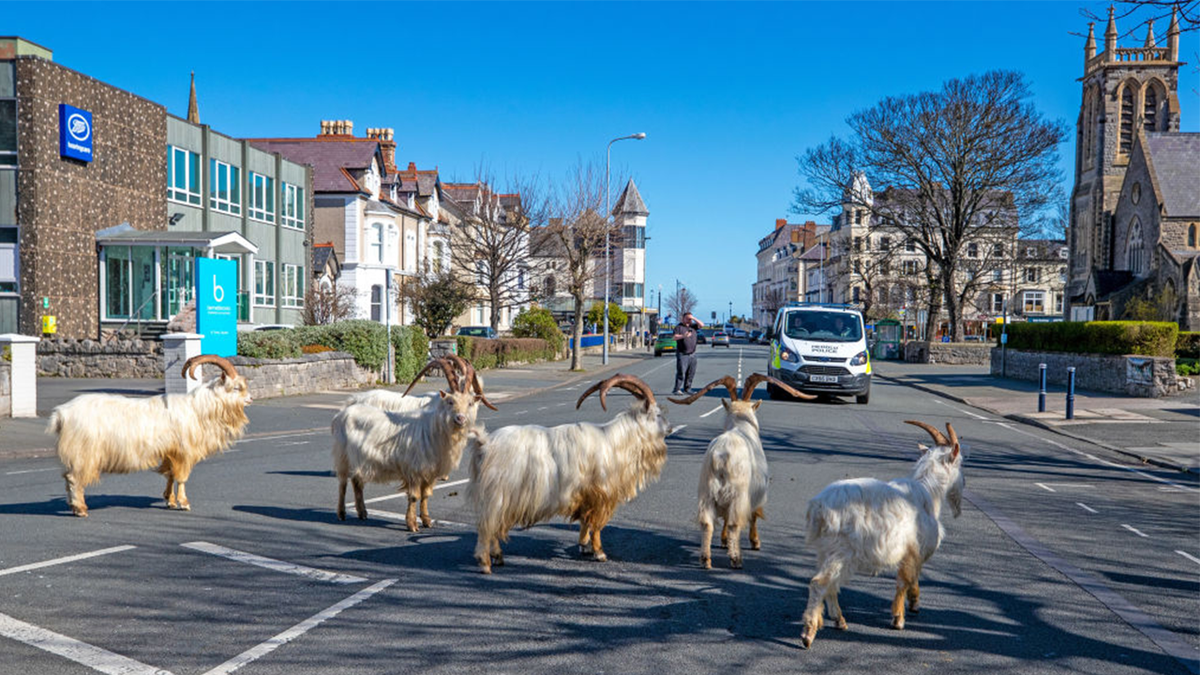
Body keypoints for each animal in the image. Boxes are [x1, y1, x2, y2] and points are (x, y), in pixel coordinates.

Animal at [48, 353, 252, 514]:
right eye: (236, 388)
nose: (250, 399)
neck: (198, 409)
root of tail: (61, 414)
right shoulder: (184, 451)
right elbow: (182, 477)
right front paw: (184, 503)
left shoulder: (169, 451)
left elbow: (170, 475)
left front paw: (170, 501)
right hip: (84, 452)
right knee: (74, 478)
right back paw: (80, 509)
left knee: (68, 477)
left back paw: (74, 506)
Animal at [331, 355, 494, 528]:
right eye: (450, 401)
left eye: (470, 402)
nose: (460, 418)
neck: (433, 429)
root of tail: (343, 411)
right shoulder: (414, 469)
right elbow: (414, 496)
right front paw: (412, 524)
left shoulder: (430, 472)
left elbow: (426, 495)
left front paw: (427, 520)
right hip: (342, 456)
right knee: (342, 483)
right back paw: (341, 513)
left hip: (359, 459)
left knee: (357, 481)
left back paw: (362, 513)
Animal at [465, 372, 672, 571]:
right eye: (657, 414)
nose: (670, 428)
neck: (615, 441)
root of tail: (485, 442)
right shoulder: (602, 494)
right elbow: (596, 525)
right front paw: (599, 553)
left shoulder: (585, 495)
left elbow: (585, 522)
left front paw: (585, 547)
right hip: (499, 494)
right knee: (488, 525)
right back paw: (487, 561)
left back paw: (497, 557)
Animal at [672, 369, 811, 564]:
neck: (740, 426)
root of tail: (721, 455)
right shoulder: (756, 492)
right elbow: (753, 516)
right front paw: (755, 542)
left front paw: (723, 541)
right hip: (738, 492)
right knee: (733, 523)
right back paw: (736, 559)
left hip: (707, 492)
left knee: (707, 523)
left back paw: (706, 559)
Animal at [796, 420, 964, 648]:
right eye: (960, 463)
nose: (962, 486)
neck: (928, 491)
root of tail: (818, 507)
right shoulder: (913, 549)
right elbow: (904, 580)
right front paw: (898, 619)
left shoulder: (911, 551)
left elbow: (912, 577)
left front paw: (914, 603)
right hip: (842, 550)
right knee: (820, 583)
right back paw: (808, 634)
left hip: (826, 551)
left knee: (830, 585)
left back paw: (839, 620)